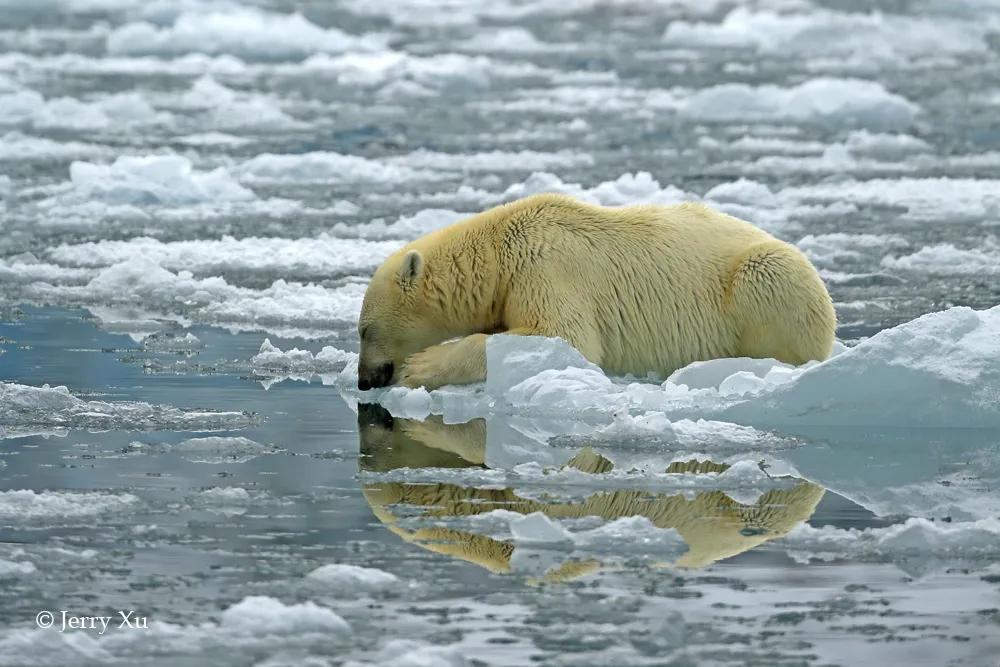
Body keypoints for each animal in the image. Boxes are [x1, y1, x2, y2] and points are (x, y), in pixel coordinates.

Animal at [360, 193, 836, 392]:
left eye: (364, 330)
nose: (364, 380)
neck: (498, 252)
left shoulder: (545, 266)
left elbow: (564, 337)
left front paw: (421, 367)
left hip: (765, 274)